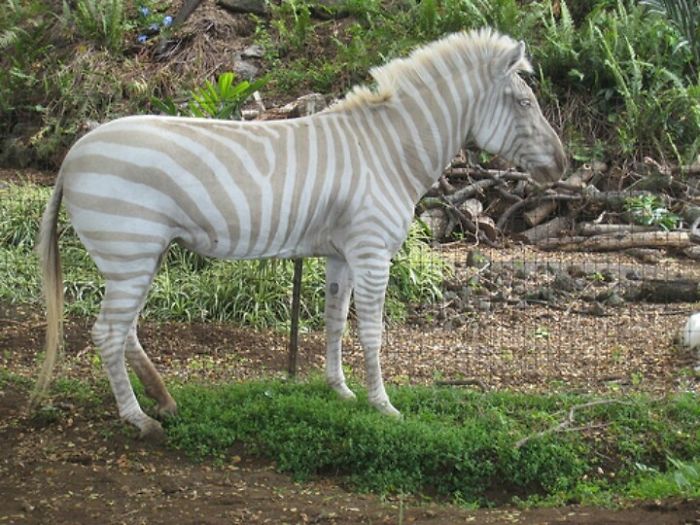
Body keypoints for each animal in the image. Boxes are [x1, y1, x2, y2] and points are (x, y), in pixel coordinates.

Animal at [33, 28, 566, 439]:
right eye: (524, 103)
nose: (562, 167)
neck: (388, 151)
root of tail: (74, 153)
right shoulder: (372, 251)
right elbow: (372, 331)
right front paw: (382, 405)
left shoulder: (341, 254)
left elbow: (334, 322)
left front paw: (341, 391)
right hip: (130, 251)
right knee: (108, 332)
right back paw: (139, 420)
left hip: (138, 256)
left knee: (125, 332)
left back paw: (163, 402)